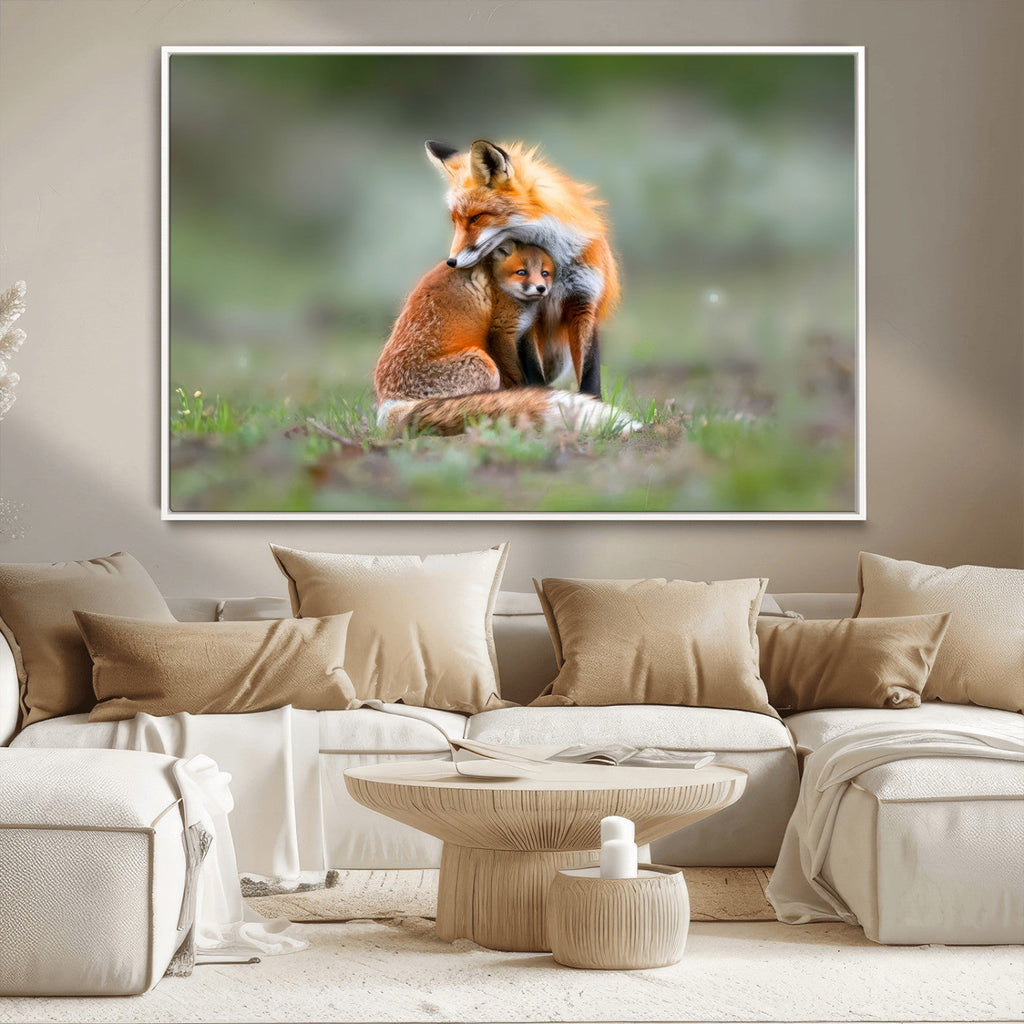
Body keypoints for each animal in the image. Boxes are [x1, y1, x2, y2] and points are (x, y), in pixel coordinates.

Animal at [374, 242, 634, 437]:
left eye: (545, 273)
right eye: (522, 272)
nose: (541, 288)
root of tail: (389, 402)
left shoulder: (525, 334)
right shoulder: (501, 332)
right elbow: (518, 376)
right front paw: (526, 395)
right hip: (483, 364)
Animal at [425, 138, 620, 398]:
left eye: (476, 218)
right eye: (455, 221)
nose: (451, 262)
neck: (555, 264)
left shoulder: (584, 301)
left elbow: (590, 372)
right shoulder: (528, 314)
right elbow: (533, 371)